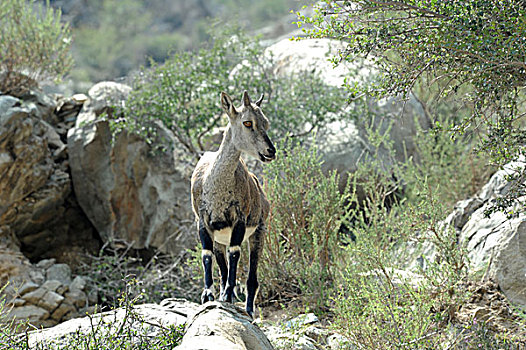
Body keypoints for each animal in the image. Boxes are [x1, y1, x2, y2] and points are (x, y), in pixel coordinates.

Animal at [192, 89, 278, 318]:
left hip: (259, 231)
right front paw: (208, 295)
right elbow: (206, 255)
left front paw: (229, 294)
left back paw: (248, 310)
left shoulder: (239, 219)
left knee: (252, 279)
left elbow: (235, 254)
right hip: (220, 238)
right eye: (247, 123)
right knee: (222, 268)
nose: (270, 151)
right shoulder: (203, 220)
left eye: (266, 122)